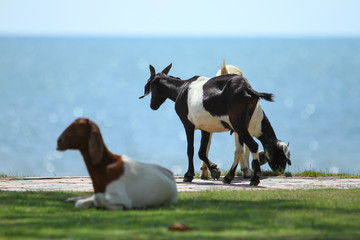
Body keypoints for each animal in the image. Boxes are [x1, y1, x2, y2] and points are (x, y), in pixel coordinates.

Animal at [140, 63, 290, 186]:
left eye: (150, 86)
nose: (152, 105)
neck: (181, 89)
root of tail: (247, 89)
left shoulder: (188, 124)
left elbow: (191, 150)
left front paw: (189, 175)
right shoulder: (205, 127)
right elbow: (201, 151)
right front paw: (214, 170)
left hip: (238, 123)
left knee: (252, 145)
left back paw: (254, 179)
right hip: (242, 124)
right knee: (240, 149)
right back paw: (228, 177)